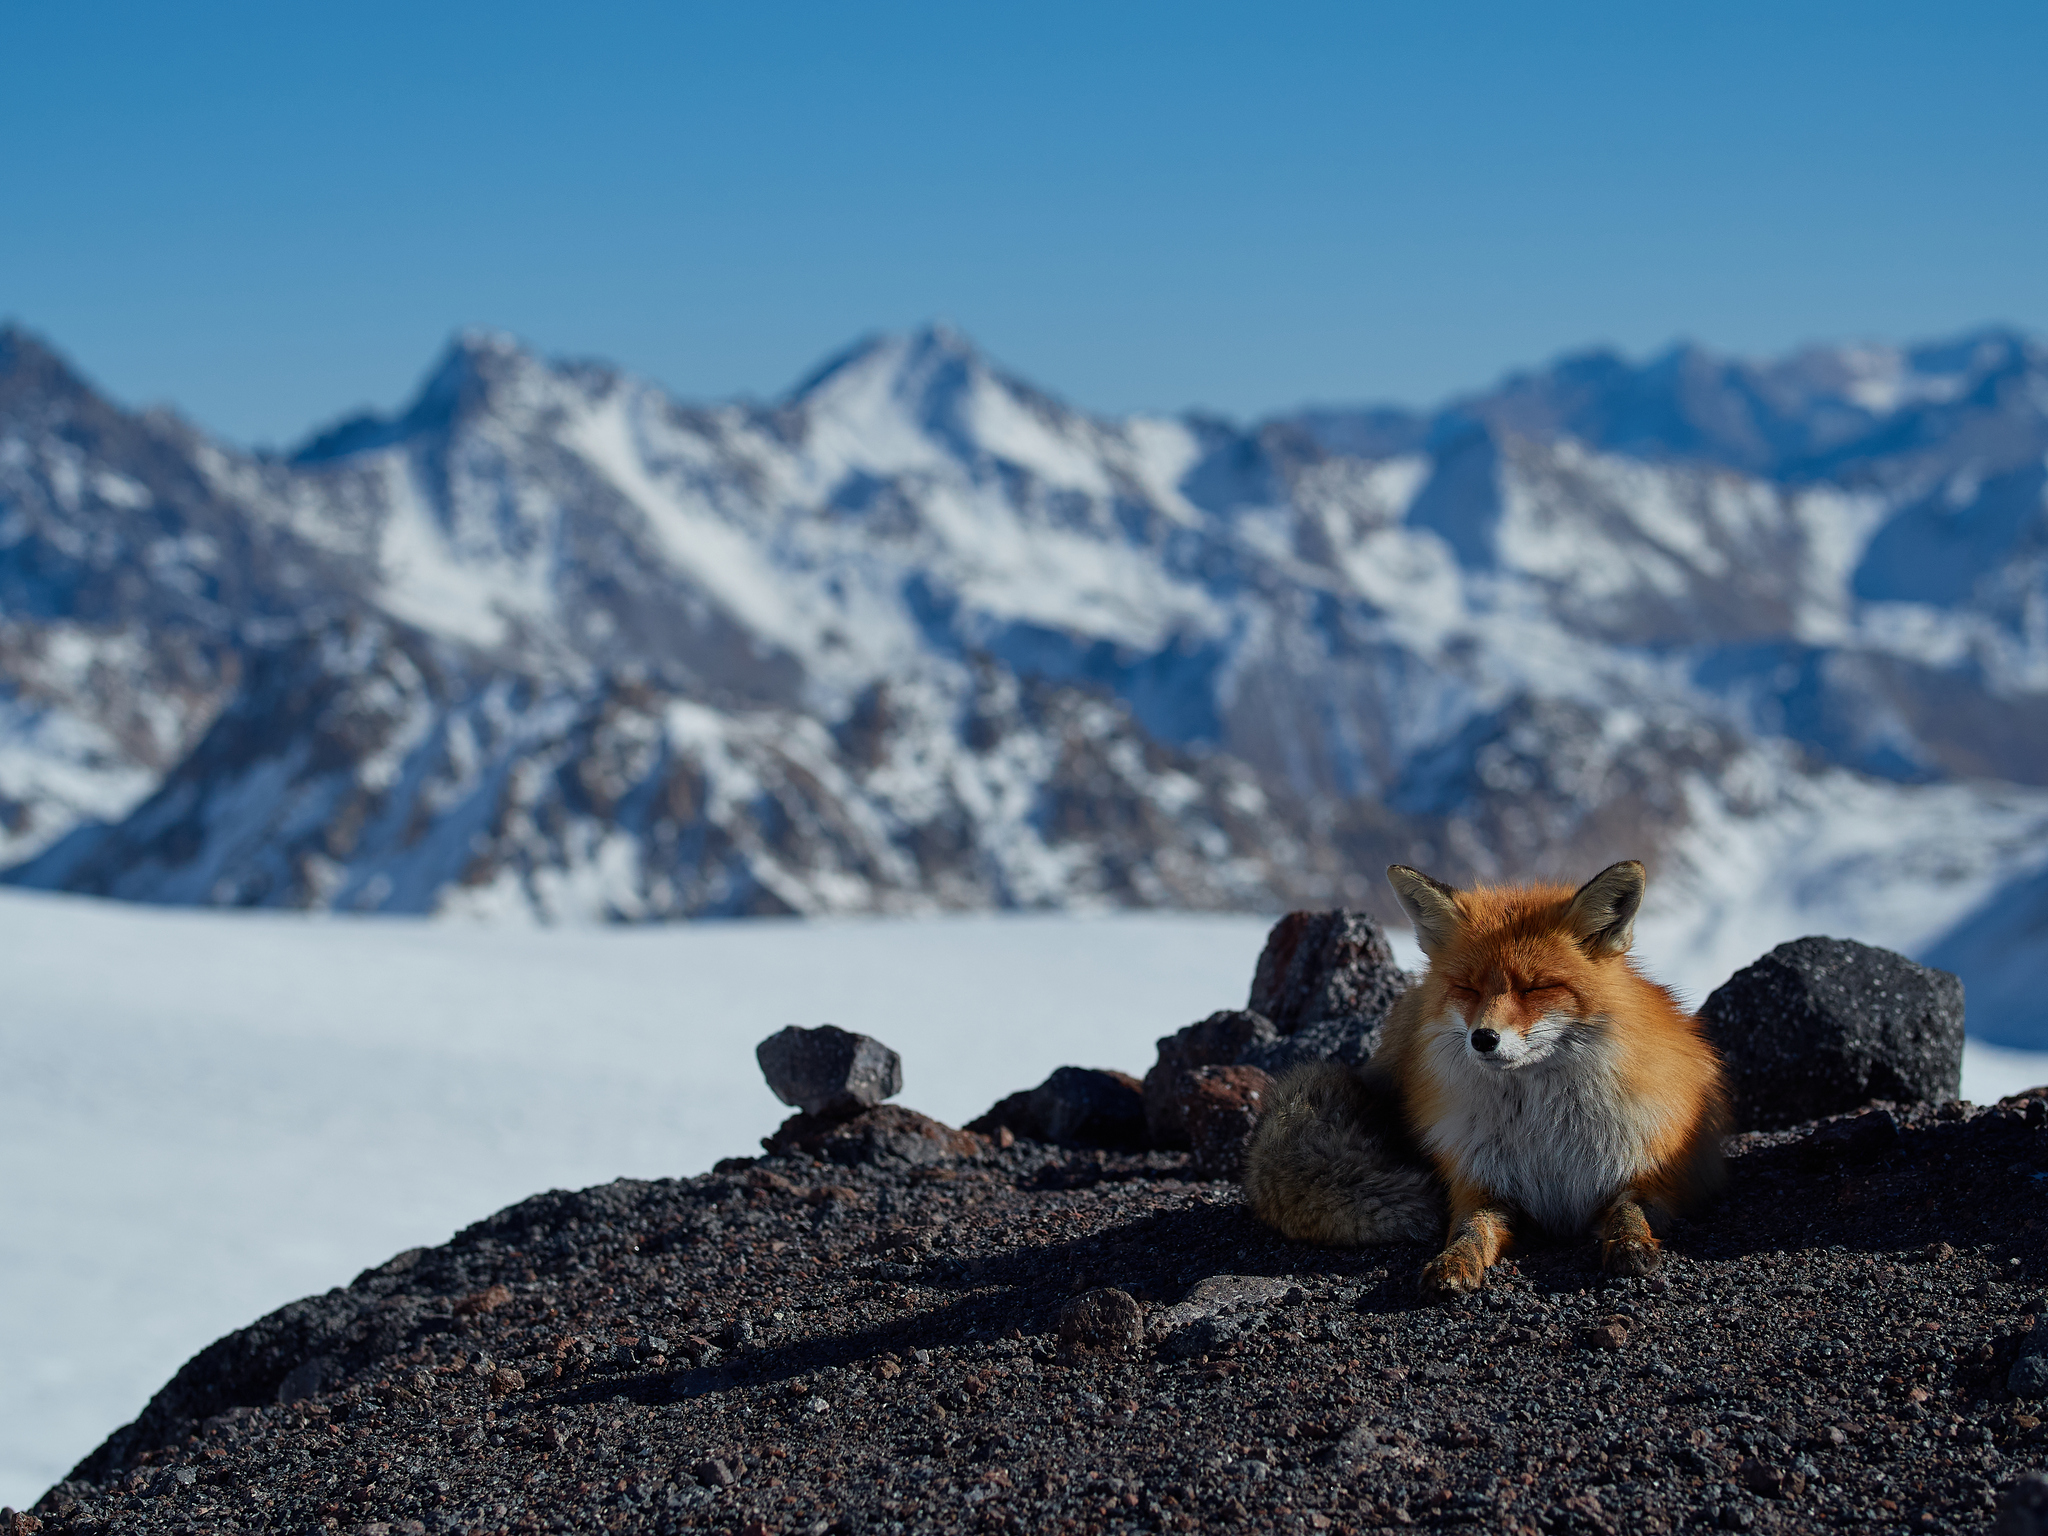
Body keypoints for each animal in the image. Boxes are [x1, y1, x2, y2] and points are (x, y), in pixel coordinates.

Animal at [1245, 868, 1728, 1302]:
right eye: (1467, 988)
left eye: (1536, 988)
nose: (1483, 1038)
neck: (1545, 1136)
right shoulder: (1480, 1184)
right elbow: (1469, 1231)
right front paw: (1453, 1263)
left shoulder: (1654, 1177)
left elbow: (1629, 1213)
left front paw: (1631, 1245)